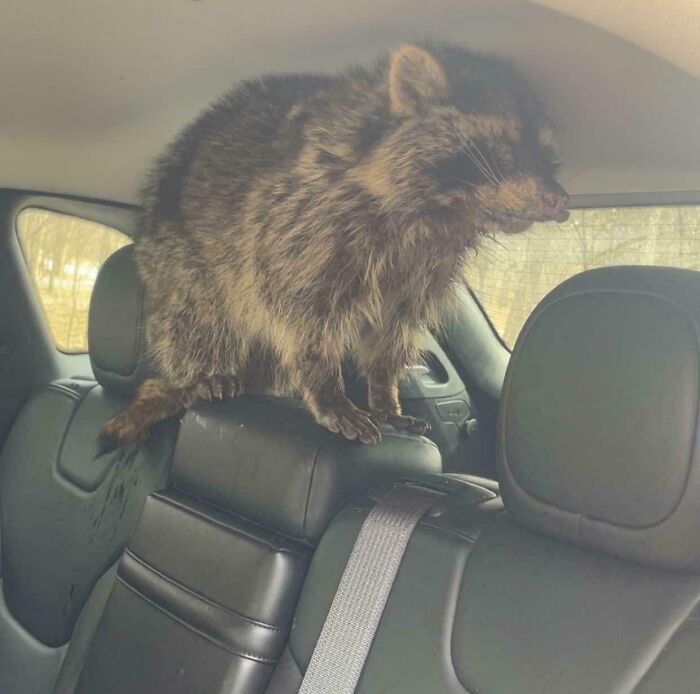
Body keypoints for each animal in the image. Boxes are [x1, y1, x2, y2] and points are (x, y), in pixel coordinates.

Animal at [101, 42, 569, 448]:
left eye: (548, 156)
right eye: (504, 147)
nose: (560, 200)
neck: (443, 212)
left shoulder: (425, 265)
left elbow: (394, 327)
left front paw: (384, 391)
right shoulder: (302, 220)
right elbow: (301, 311)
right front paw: (325, 386)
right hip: (177, 256)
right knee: (199, 315)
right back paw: (203, 371)